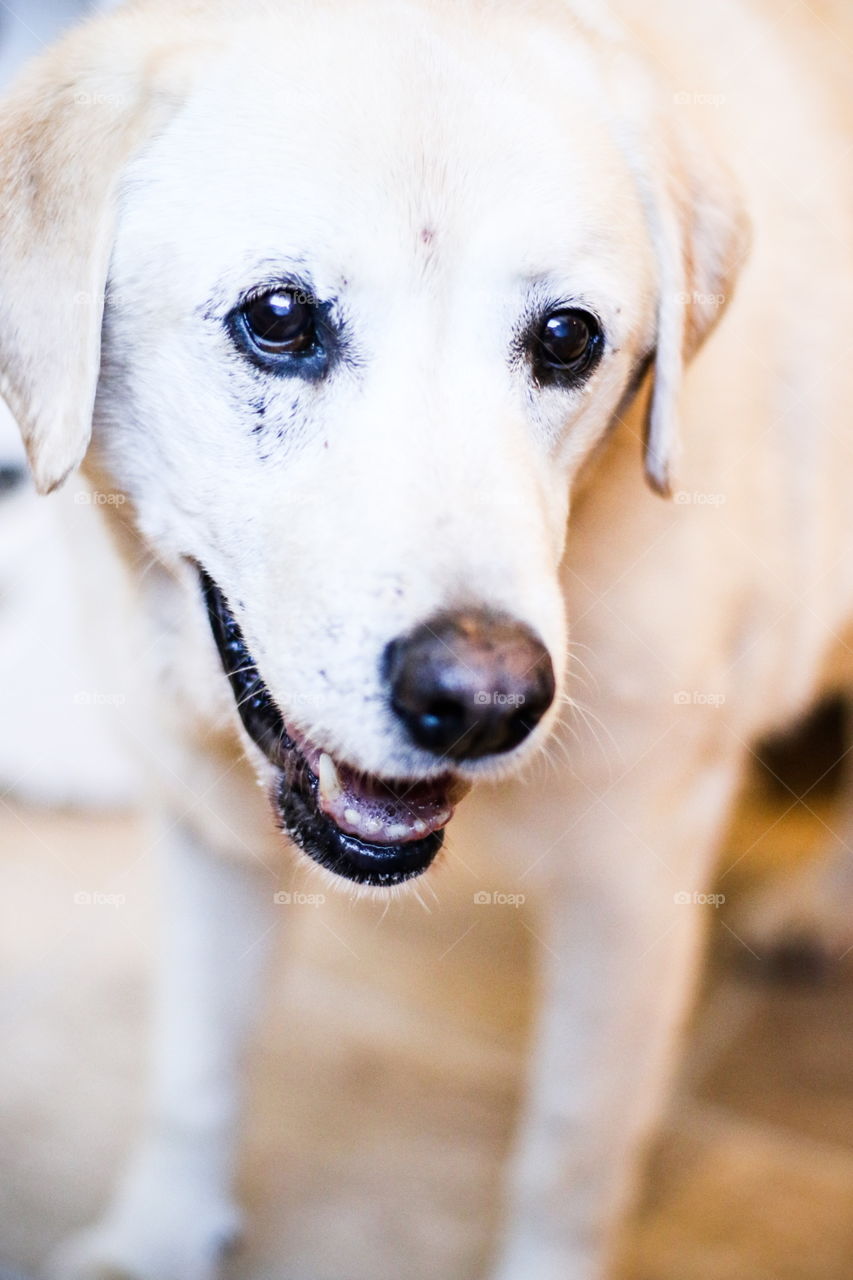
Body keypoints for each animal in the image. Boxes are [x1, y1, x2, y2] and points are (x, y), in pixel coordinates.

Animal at [1, 2, 850, 1280]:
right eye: (280, 318)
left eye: (567, 337)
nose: (486, 697)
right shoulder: (208, 823)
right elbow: (195, 1066)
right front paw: (157, 1237)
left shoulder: (633, 874)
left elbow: (571, 1146)